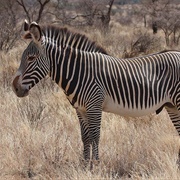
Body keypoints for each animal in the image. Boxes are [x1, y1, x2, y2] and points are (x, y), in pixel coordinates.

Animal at [12, 20, 180, 165]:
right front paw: (85, 164)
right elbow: (85, 137)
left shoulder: (94, 105)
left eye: (31, 58)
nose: (15, 88)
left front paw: (96, 164)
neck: (79, 72)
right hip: (172, 106)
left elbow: (95, 136)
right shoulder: (80, 109)